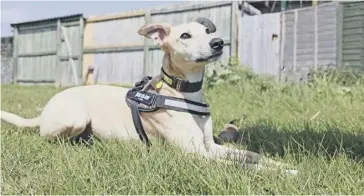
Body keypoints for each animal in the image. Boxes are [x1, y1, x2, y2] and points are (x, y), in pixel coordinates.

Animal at [1, 17, 298, 175]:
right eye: (185, 35)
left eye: (207, 31)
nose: (218, 43)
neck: (181, 92)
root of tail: (43, 112)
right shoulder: (194, 155)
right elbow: (244, 167)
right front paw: (285, 173)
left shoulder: (211, 146)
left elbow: (251, 156)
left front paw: (282, 164)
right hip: (74, 118)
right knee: (56, 139)